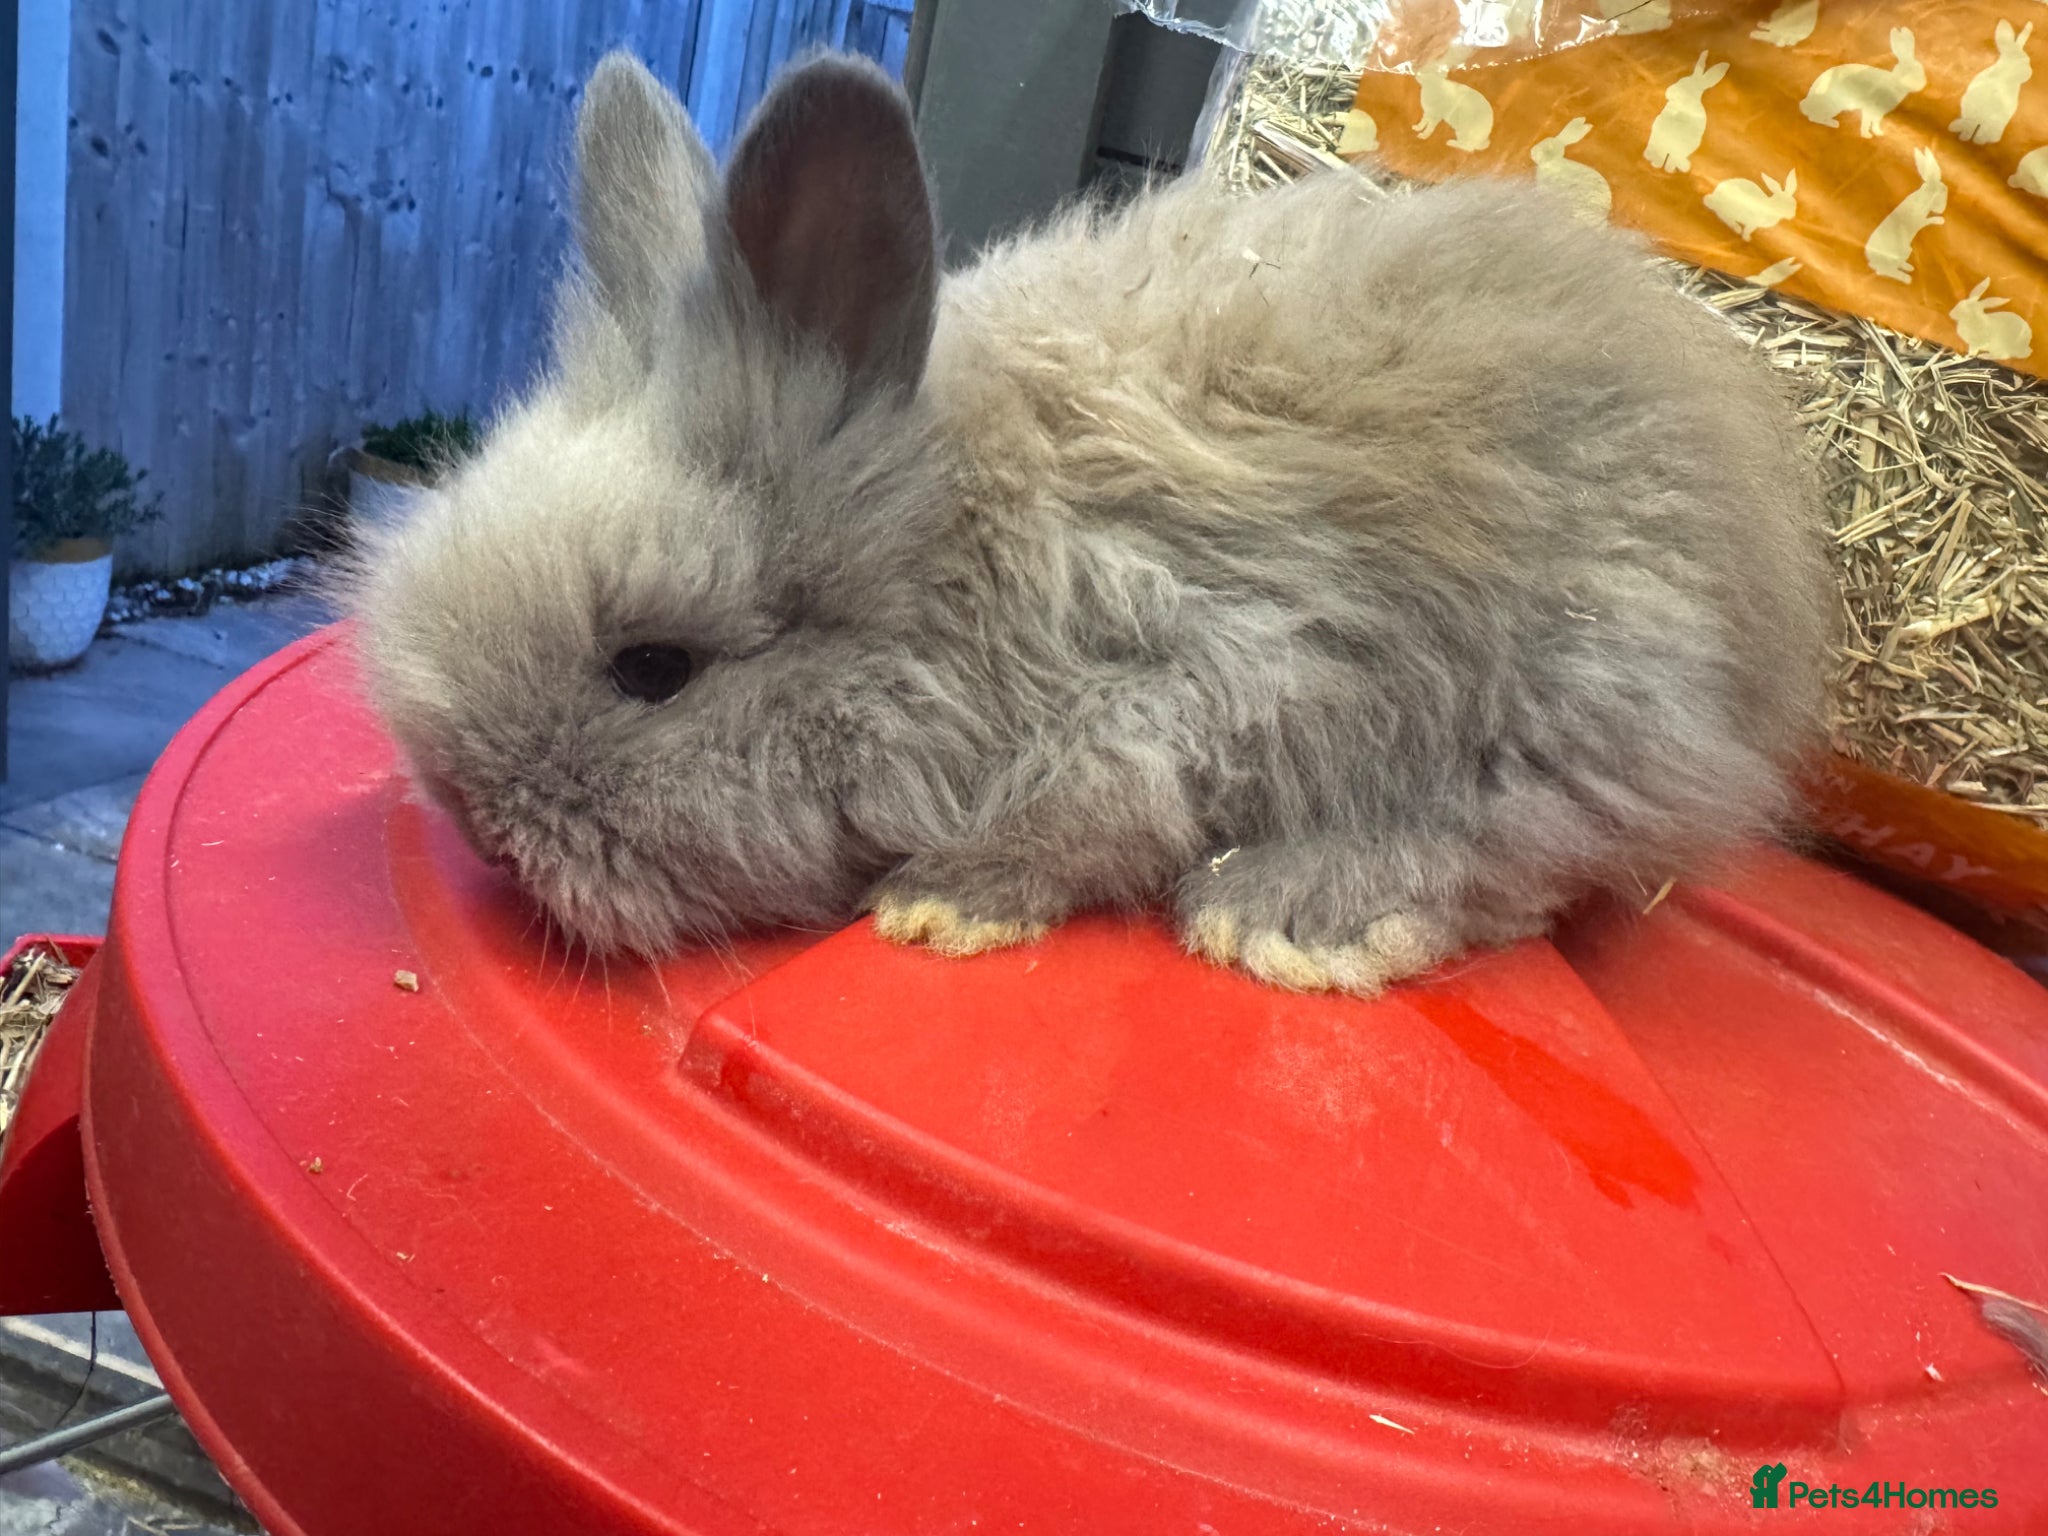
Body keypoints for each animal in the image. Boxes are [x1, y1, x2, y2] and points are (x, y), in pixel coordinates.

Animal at [349, 51, 1831, 997]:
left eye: (653, 668)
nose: (475, 825)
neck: (957, 557)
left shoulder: (1188, 680)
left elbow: (1090, 818)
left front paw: (940, 905)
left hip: (1564, 695)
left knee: (1523, 850)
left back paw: (1281, 919)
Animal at [1864, 146, 1947, 282]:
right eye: (1943, 193)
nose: (1942, 210)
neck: (1927, 196)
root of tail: (1872, 260)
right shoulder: (1919, 220)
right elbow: (1927, 221)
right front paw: (1940, 220)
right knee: (1886, 271)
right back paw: (1907, 278)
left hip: (1906, 251)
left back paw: (1908, 268)